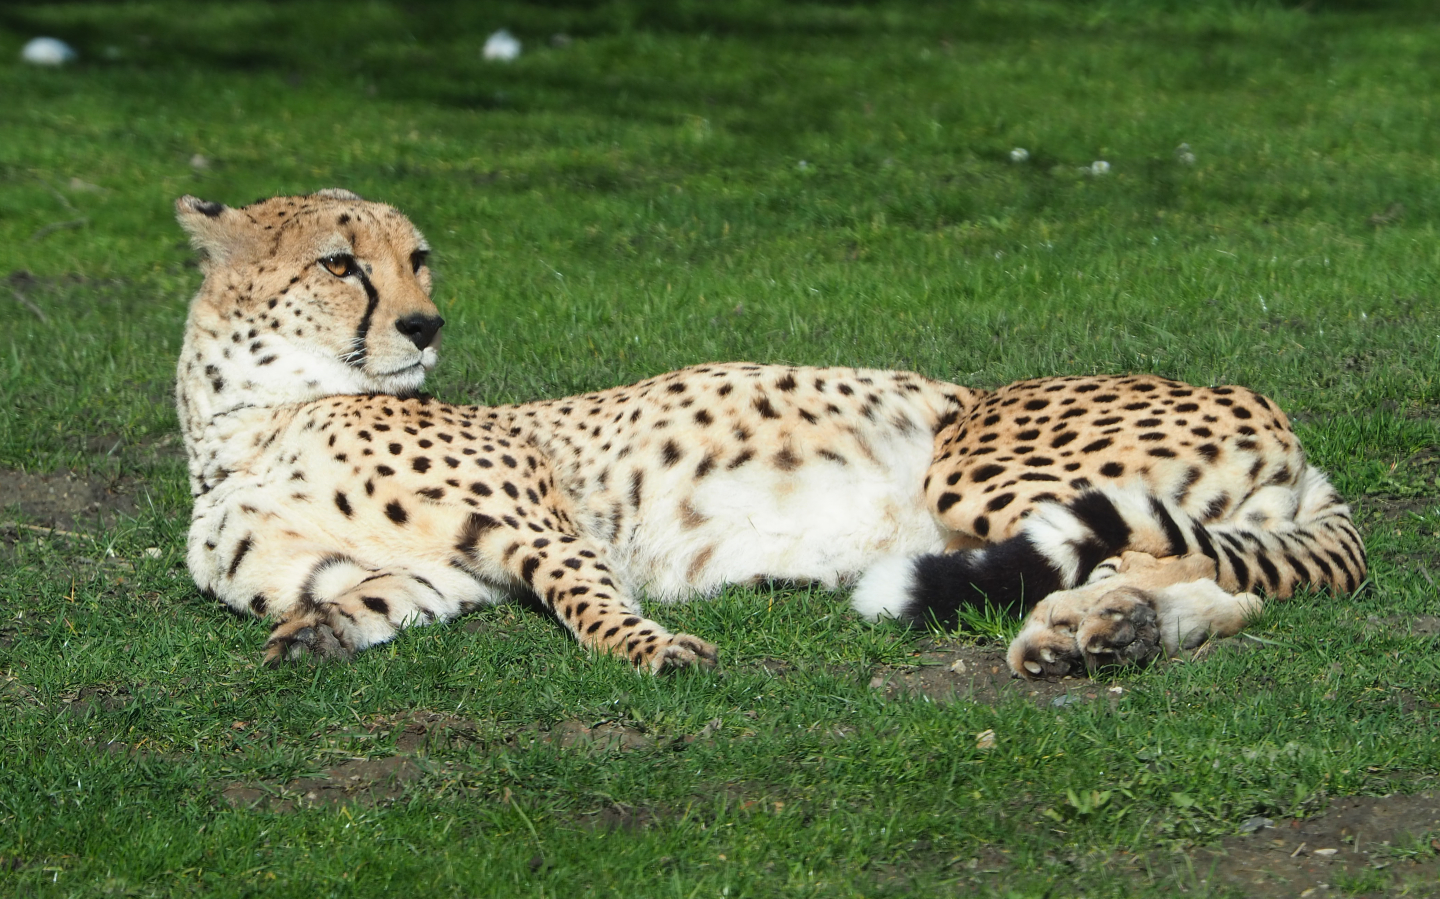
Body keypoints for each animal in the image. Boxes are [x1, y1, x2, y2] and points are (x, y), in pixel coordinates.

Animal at [174, 189, 1365, 677]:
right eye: (341, 262)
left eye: (417, 258)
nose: (425, 325)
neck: (251, 425)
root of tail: (1276, 414)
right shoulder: (438, 571)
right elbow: (372, 597)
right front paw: (320, 636)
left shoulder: (546, 528)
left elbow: (592, 599)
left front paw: (656, 649)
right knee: (1225, 577)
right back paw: (1108, 632)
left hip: (974, 467)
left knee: (1161, 552)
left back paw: (1093, 625)